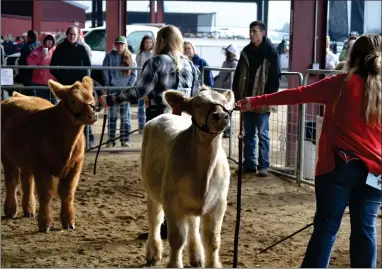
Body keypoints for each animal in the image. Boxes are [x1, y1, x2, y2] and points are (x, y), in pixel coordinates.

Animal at [142, 87, 234, 266]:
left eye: (225, 103)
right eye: (198, 103)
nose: (221, 116)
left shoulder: (219, 204)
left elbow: (212, 241)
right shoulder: (171, 202)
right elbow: (177, 239)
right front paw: (174, 264)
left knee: (192, 224)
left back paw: (196, 256)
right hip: (151, 191)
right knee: (155, 220)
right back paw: (153, 253)